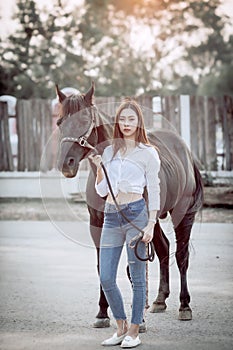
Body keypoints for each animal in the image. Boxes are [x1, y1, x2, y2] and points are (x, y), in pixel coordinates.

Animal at [55, 82, 203, 328]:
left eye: (85, 120)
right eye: (59, 122)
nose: (66, 163)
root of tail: (184, 149)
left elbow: (135, 269)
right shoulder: (98, 224)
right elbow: (102, 266)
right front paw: (102, 312)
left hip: (182, 213)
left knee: (182, 256)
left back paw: (184, 305)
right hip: (153, 220)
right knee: (163, 248)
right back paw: (159, 300)